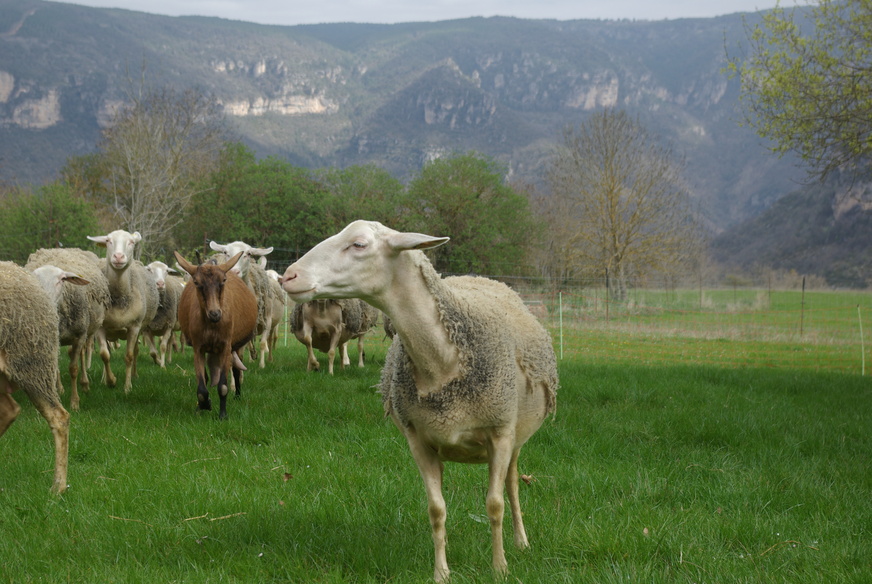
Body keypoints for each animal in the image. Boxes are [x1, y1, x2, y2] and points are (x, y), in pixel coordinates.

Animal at [25, 248, 110, 410]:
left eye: (61, 280)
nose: (46, 302)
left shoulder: (80, 335)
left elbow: (73, 368)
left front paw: (75, 402)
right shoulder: (52, 340)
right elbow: (54, 367)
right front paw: (56, 392)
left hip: (86, 332)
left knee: (82, 355)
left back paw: (85, 384)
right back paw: (61, 388)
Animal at [87, 229, 159, 392]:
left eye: (131, 242)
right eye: (108, 241)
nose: (118, 256)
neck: (119, 296)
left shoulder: (134, 327)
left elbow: (129, 356)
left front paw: (127, 387)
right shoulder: (101, 328)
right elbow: (104, 355)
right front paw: (111, 381)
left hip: (140, 328)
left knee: (136, 352)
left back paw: (134, 375)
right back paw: (104, 379)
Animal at [175, 251, 258, 420]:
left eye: (223, 281)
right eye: (196, 282)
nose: (215, 314)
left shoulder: (226, 346)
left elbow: (223, 386)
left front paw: (223, 415)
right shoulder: (198, 347)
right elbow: (202, 388)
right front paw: (204, 405)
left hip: (236, 346)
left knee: (236, 370)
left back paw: (237, 395)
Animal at [282, 221, 564, 580]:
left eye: (359, 244)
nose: (288, 275)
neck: (443, 359)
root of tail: (481, 277)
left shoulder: (500, 433)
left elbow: (495, 504)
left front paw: (499, 568)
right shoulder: (418, 440)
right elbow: (436, 509)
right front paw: (441, 573)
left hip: (515, 436)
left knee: (512, 486)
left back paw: (521, 542)